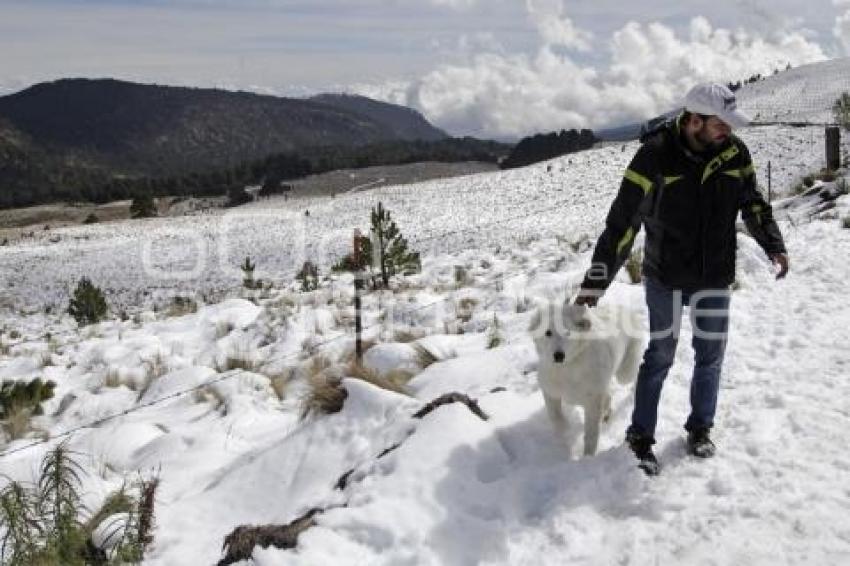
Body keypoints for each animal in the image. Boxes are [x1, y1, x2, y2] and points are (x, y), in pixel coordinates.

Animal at [528, 302, 644, 458]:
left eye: (568, 333)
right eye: (548, 333)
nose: (558, 356)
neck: (568, 367)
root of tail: (625, 309)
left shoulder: (592, 402)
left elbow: (591, 434)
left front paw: (588, 457)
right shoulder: (550, 391)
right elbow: (556, 418)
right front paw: (565, 434)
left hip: (625, 373)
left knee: (635, 373)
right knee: (608, 396)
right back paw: (606, 413)